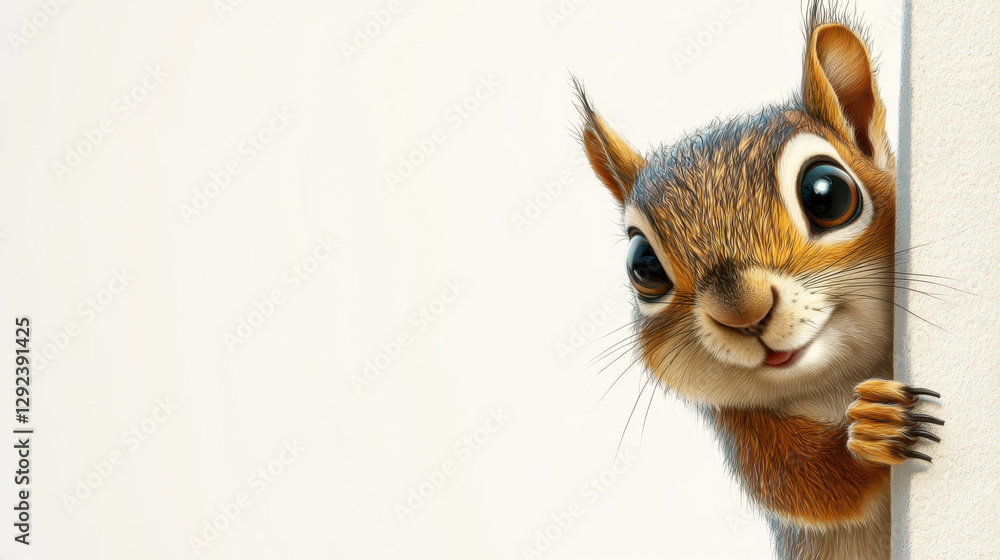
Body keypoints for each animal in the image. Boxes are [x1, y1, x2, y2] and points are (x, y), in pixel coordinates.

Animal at [572, 2, 942, 559]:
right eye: (643, 265)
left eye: (827, 194)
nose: (744, 312)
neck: (835, 384)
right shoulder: (744, 428)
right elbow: (803, 485)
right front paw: (875, 431)